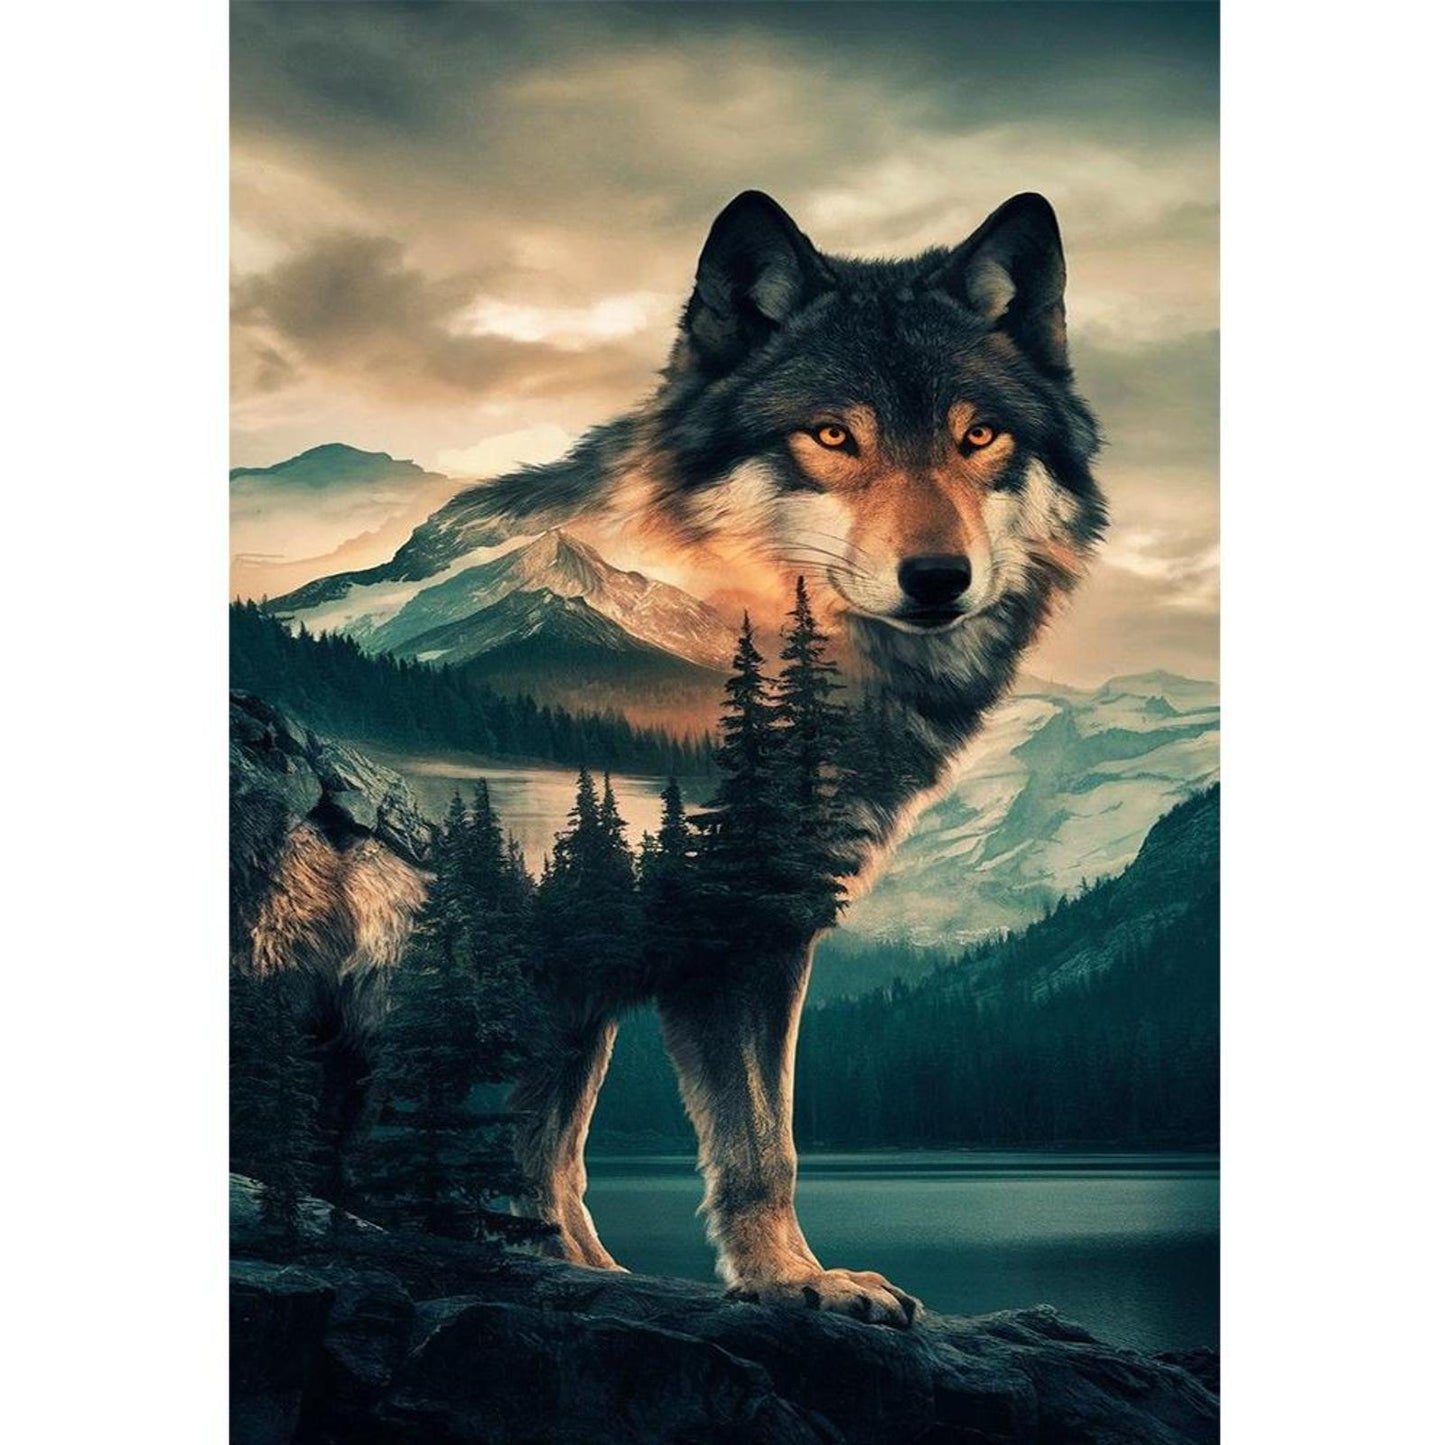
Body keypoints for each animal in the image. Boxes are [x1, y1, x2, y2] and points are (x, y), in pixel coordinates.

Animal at [476, 192, 1107, 1327]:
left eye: (977, 434)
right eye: (831, 435)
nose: (938, 576)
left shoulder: (745, 934)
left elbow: (733, 1143)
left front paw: (782, 1278)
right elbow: (570, 1141)